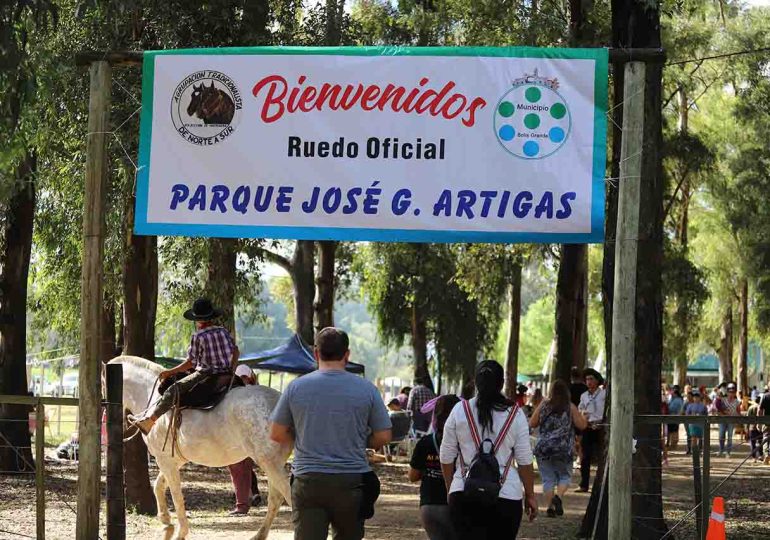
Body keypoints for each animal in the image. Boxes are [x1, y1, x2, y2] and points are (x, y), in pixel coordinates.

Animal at [111, 356, 294, 536]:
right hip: (272, 463)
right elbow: (159, 486)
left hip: (269, 462)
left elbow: (176, 495)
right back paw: (259, 535)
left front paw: (180, 531)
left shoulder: (164, 460)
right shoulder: (173, 460)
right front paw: (166, 521)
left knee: (287, 494)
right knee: (276, 498)